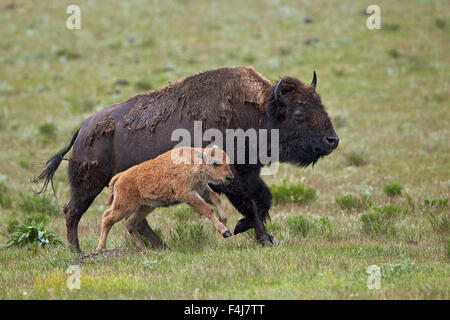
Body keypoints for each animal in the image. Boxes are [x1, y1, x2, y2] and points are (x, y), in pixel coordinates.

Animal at [96, 146, 234, 251]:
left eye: (227, 161)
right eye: (215, 163)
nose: (230, 177)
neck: (195, 161)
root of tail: (121, 176)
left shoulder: (202, 189)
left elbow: (216, 200)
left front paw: (224, 221)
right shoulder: (188, 194)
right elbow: (208, 209)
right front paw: (225, 232)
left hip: (145, 207)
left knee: (130, 222)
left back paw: (143, 249)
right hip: (125, 206)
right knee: (107, 217)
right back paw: (101, 248)